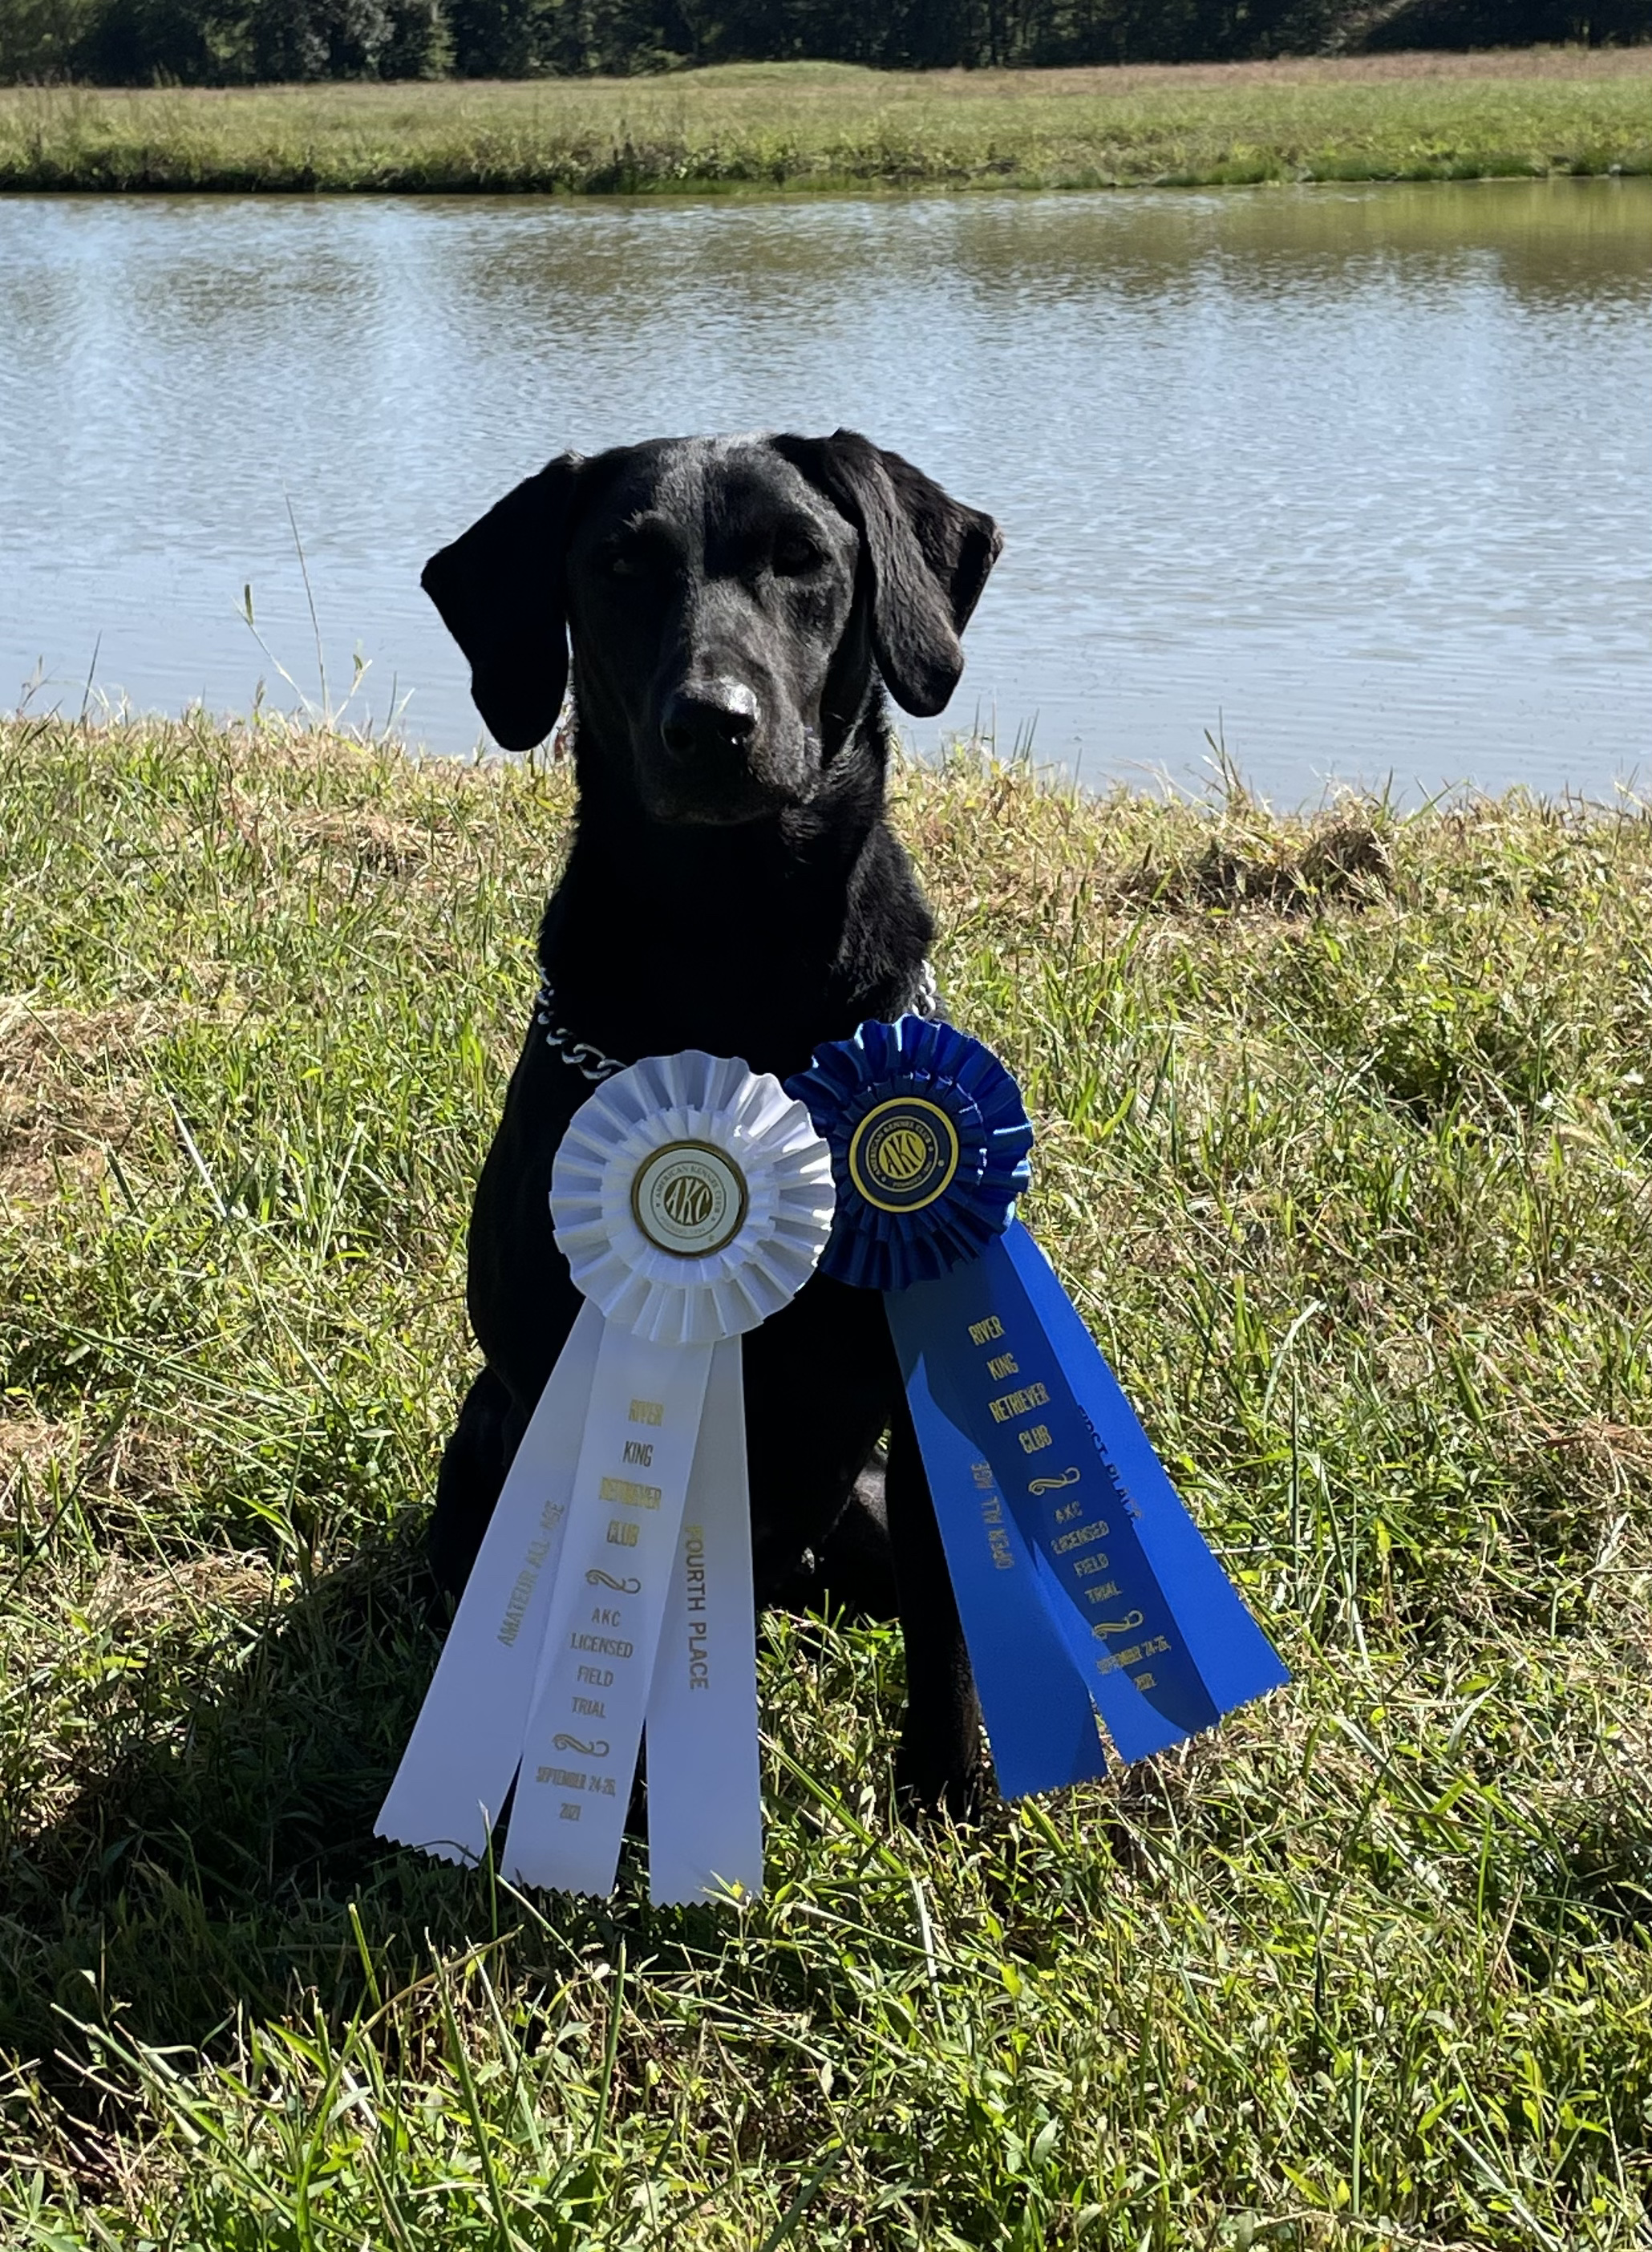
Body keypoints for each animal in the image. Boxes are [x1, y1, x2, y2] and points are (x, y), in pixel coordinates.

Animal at [420, 430, 1003, 1819]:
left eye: (803, 558)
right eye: (619, 568)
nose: (712, 725)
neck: (737, 956)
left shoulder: (917, 1390)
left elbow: (948, 1621)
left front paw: (947, 1795)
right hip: (486, 1438)